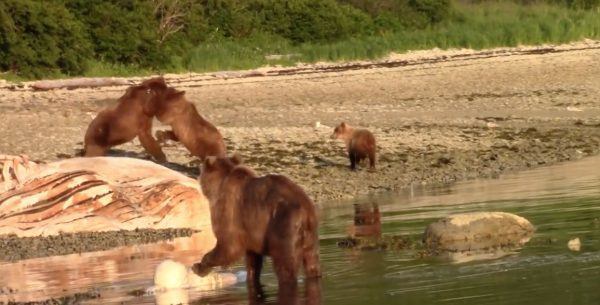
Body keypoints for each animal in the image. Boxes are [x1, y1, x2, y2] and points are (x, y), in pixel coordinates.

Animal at [195, 156, 322, 296]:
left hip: (284, 225)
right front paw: (251, 278)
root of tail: (306, 212)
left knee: (285, 265)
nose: (197, 176)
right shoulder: (251, 231)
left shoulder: (229, 211)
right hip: (311, 236)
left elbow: (228, 246)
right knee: (312, 262)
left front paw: (198, 267)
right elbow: (253, 260)